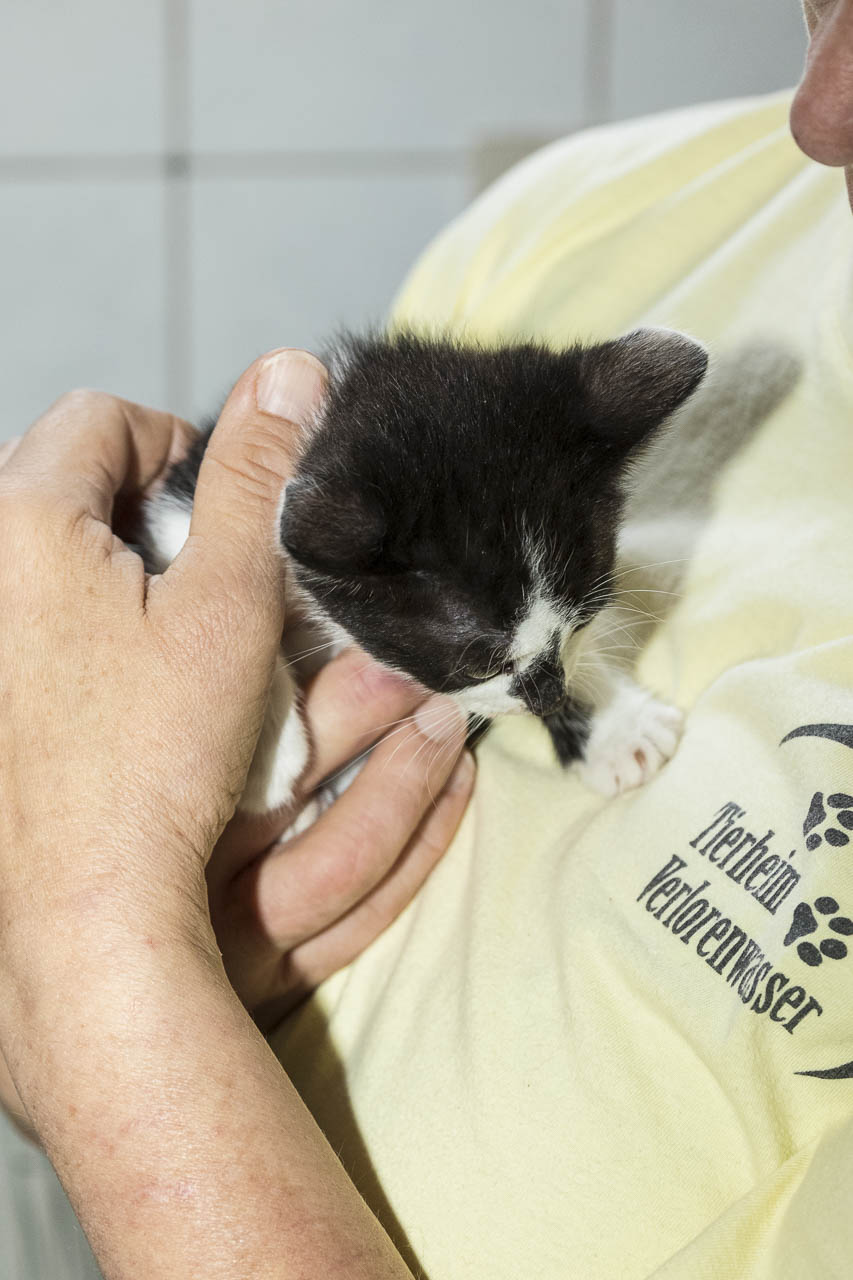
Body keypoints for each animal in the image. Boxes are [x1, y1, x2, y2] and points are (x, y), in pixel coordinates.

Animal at [140, 326, 708, 813]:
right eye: (479, 666)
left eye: (583, 621)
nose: (550, 699)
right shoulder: (178, 503)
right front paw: (264, 753)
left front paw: (617, 724)